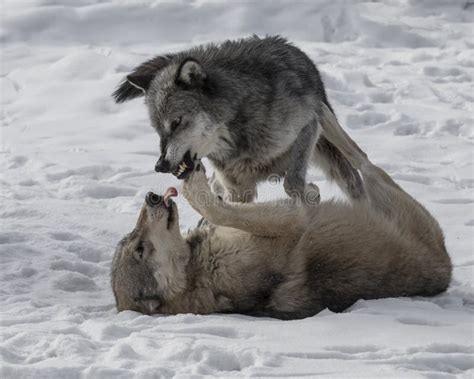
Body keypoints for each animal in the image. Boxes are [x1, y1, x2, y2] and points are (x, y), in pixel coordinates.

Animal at [109, 104, 450, 320]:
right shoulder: (290, 225)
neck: (198, 270)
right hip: (393, 202)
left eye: (131, 238)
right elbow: (225, 210)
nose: (152, 198)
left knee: (358, 164)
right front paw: (195, 187)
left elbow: (224, 210)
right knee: (363, 160)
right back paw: (321, 116)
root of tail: (446, 269)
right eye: (139, 249)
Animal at [114, 35, 362, 202]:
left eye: (176, 122)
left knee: (356, 185)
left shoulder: (307, 126)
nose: (160, 165)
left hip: (334, 155)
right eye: (157, 129)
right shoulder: (238, 189)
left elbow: (293, 184)